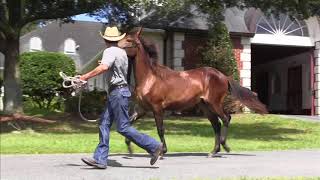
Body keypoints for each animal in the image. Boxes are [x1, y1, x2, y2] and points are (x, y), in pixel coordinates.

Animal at [118, 27, 268, 157]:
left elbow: (160, 129)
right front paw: (130, 149)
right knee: (216, 124)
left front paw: (162, 151)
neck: (150, 78)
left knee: (226, 118)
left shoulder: (157, 108)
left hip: (213, 103)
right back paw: (213, 151)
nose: (116, 47)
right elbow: (128, 124)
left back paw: (224, 146)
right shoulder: (142, 109)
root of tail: (224, 77)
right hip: (205, 106)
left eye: (129, 40)